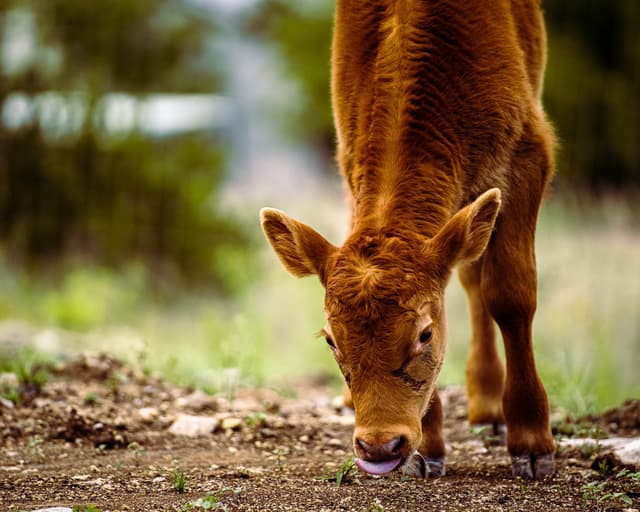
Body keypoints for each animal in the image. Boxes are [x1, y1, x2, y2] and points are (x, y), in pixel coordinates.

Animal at [260, 0, 556, 480]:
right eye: (330, 339)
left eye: (425, 334)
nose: (379, 445)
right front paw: (428, 447)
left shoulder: (529, 153)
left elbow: (512, 295)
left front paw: (532, 443)